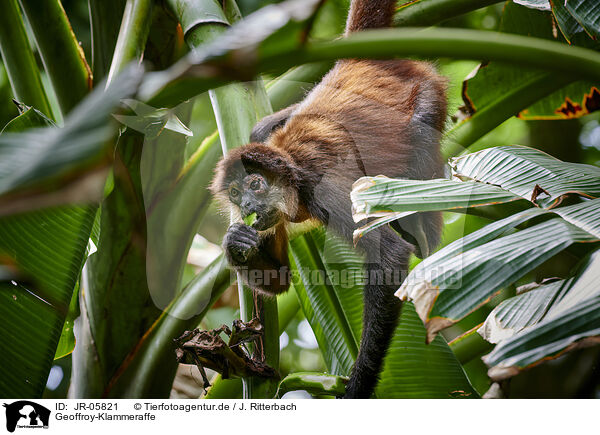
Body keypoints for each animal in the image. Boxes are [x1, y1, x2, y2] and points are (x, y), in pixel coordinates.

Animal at [211, 0, 446, 398]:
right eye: (235, 194)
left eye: (255, 185)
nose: (246, 208)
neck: (292, 169)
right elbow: (280, 280)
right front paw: (235, 242)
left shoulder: (324, 190)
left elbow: (390, 254)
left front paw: (359, 385)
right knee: (262, 128)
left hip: (427, 90)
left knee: (419, 137)